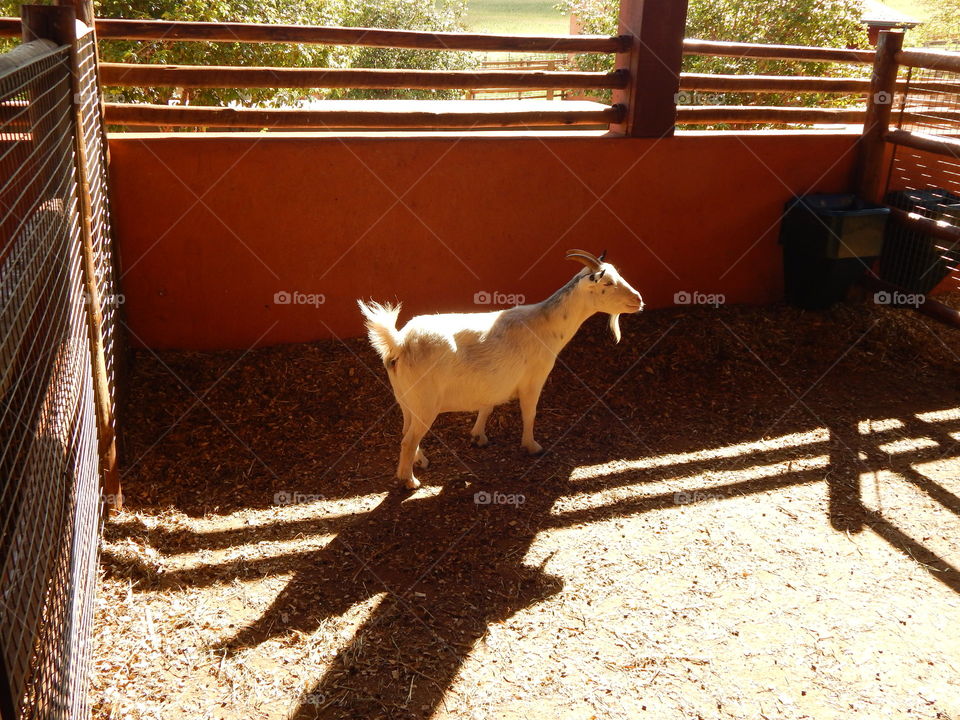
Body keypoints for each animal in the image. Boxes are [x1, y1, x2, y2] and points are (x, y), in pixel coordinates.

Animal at [358, 249, 644, 489]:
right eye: (607, 284)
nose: (638, 300)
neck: (544, 324)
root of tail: (399, 342)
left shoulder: (494, 383)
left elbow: (487, 406)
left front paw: (478, 437)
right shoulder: (533, 380)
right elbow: (530, 413)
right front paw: (532, 446)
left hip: (407, 399)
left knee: (406, 430)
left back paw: (421, 461)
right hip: (426, 402)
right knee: (408, 439)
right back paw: (410, 481)